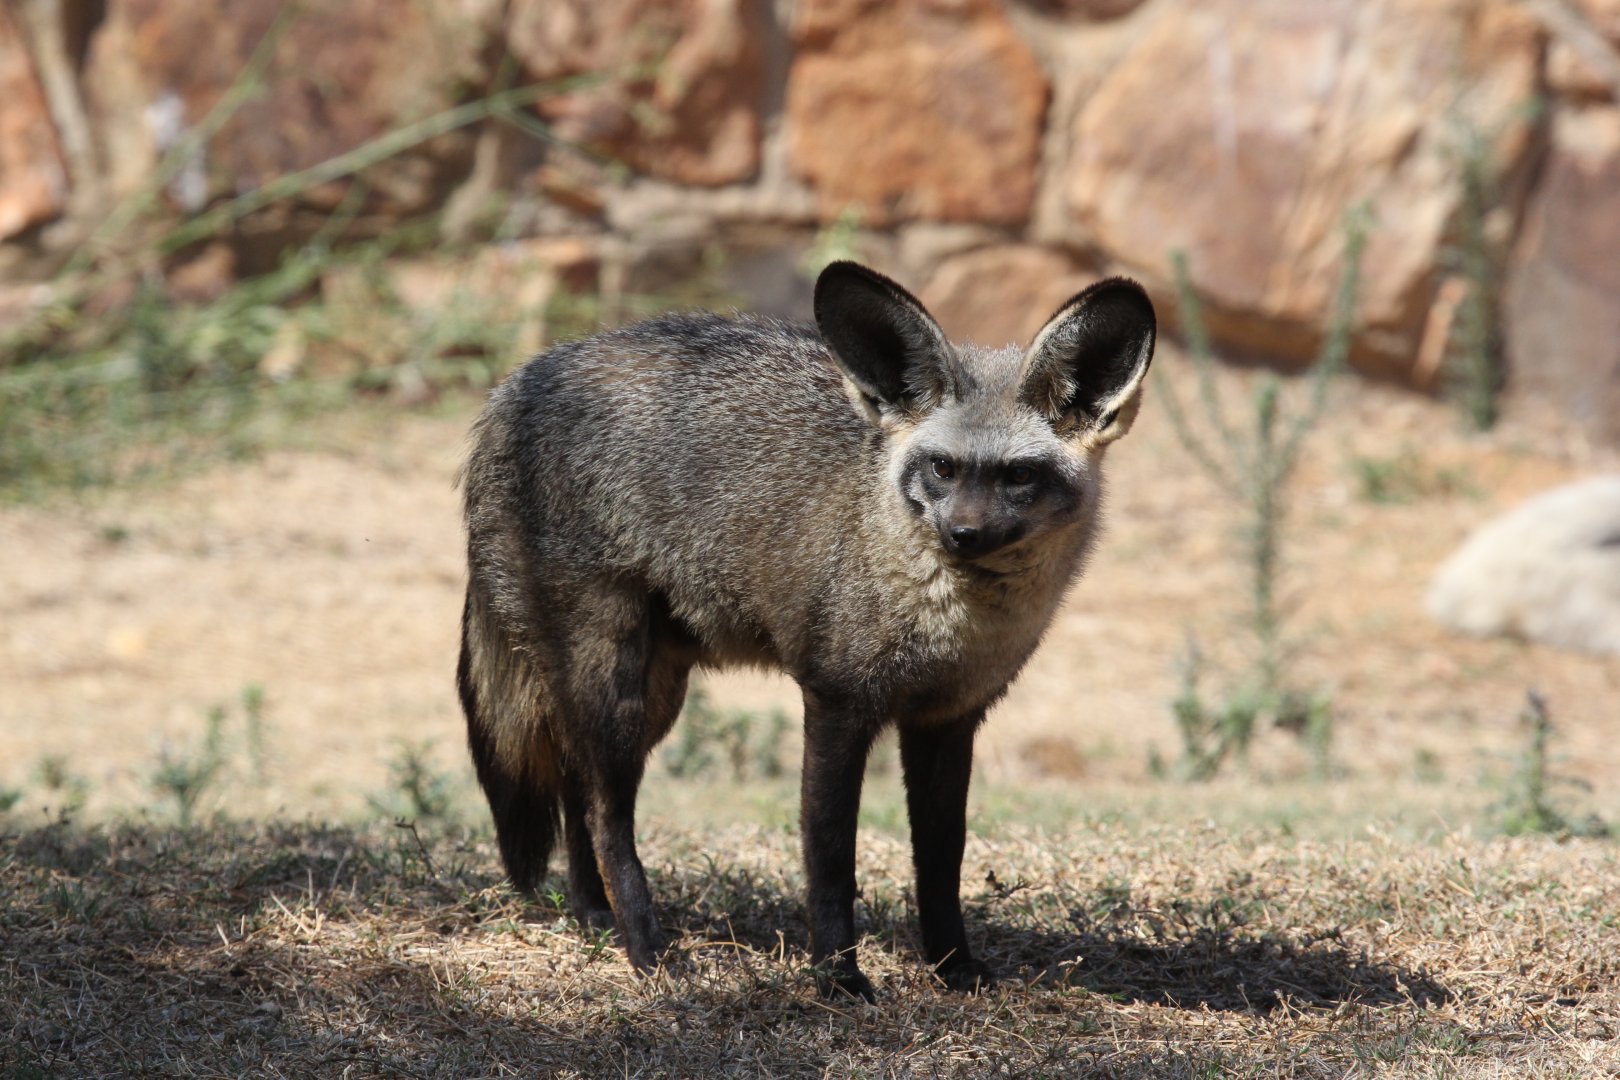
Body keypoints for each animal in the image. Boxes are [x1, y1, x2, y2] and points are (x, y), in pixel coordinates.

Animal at [457, 260, 1155, 1000]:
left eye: (1019, 476)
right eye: (943, 468)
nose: (962, 535)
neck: (947, 626)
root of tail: (517, 381)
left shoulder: (948, 718)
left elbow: (942, 862)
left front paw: (952, 968)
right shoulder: (836, 703)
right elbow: (830, 860)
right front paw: (838, 978)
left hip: (651, 700)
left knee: (578, 793)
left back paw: (595, 915)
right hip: (614, 690)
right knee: (606, 816)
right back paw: (647, 949)